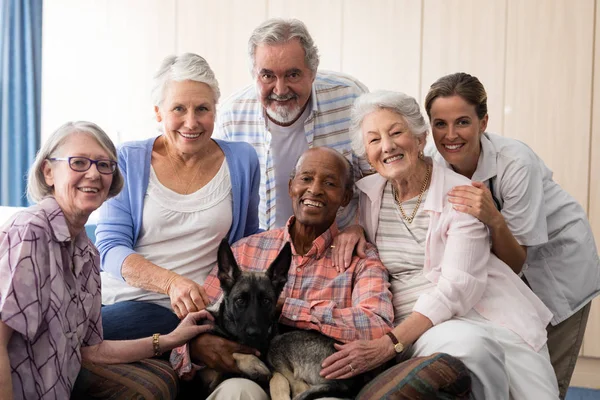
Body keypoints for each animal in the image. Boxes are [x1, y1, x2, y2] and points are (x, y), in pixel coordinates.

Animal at [202, 239, 360, 400]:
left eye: (266, 301)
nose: (254, 333)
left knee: (299, 387)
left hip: (277, 344)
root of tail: (349, 382)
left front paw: (254, 364)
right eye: (240, 301)